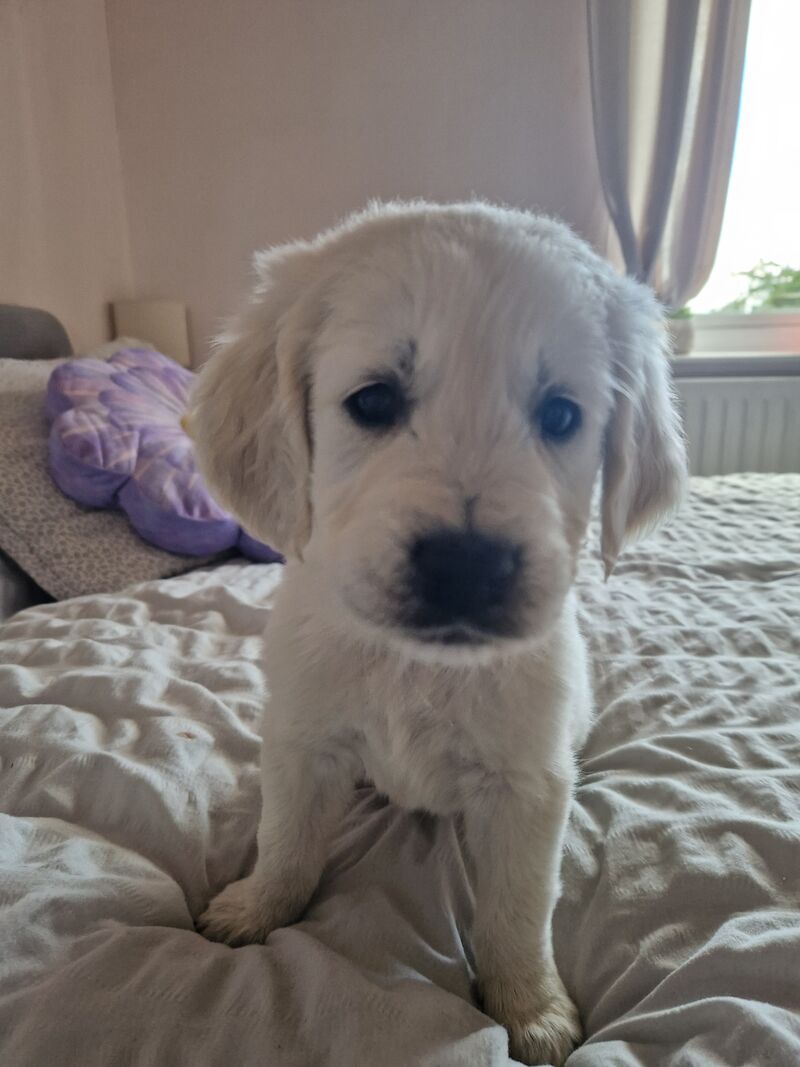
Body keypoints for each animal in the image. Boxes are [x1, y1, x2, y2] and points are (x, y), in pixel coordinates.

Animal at [190, 201, 686, 1067]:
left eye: (562, 414)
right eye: (373, 402)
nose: (467, 564)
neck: (416, 666)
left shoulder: (528, 786)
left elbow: (518, 907)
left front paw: (530, 1005)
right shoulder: (301, 739)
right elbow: (286, 837)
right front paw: (257, 907)